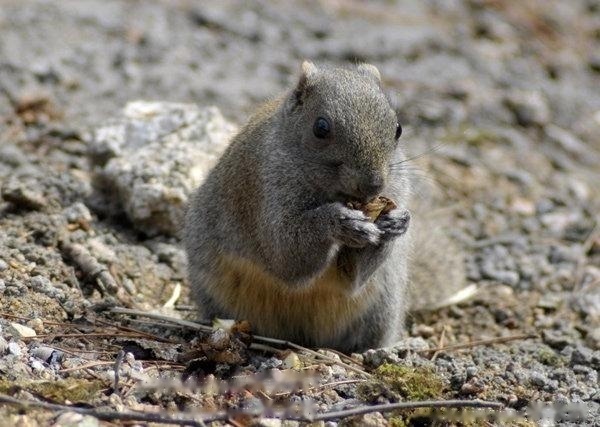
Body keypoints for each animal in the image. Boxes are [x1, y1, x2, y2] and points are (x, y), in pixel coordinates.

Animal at [185, 61, 466, 354]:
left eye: (398, 128)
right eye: (320, 128)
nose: (374, 184)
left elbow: (353, 277)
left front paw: (397, 222)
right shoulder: (262, 190)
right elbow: (284, 253)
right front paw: (340, 222)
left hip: (381, 305)